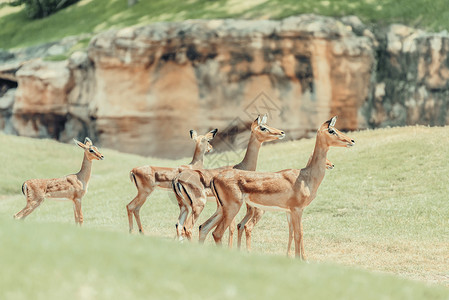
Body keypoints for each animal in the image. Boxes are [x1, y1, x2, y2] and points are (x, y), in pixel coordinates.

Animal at [173, 115, 286, 244]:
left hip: (185, 206)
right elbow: (232, 228)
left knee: (181, 226)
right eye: (262, 127)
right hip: (199, 205)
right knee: (189, 227)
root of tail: (177, 179)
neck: (242, 166)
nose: (281, 132)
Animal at [204, 116, 354, 258]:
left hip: (221, 209)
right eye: (331, 130)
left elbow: (295, 232)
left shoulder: (291, 211)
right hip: (232, 208)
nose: (351, 140)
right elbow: (298, 234)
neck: (305, 177)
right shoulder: (296, 209)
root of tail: (215, 177)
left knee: (204, 227)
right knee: (218, 233)